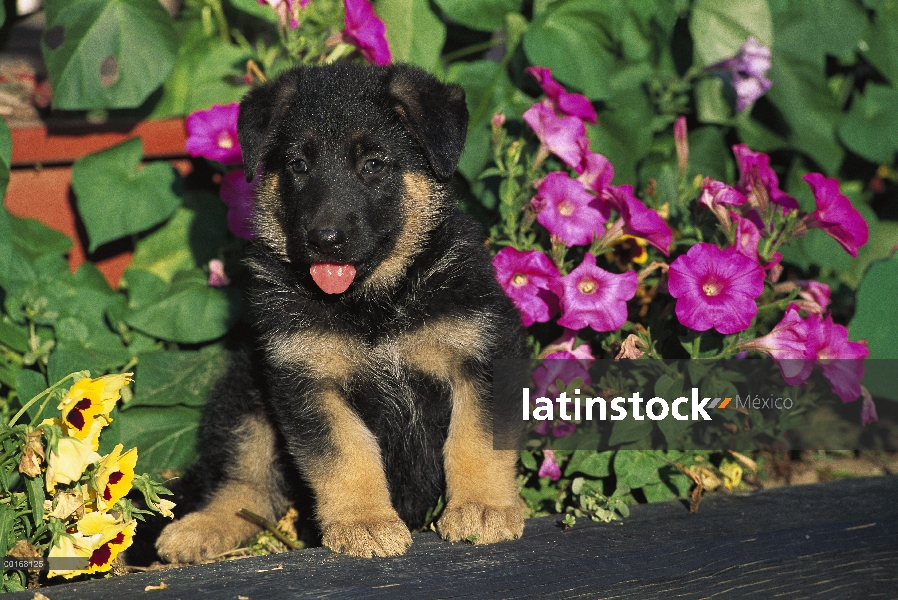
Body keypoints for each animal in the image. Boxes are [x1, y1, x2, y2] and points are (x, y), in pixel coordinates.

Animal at [155, 63, 528, 560]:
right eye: (298, 165)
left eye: (373, 164)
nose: (324, 239)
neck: (375, 302)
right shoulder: (306, 378)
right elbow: (346, 453)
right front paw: (364, 522)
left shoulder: (482, 350)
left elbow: (476, 438)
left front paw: (482, 508)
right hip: (246, 395)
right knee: (247, 487)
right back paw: (199, 528)